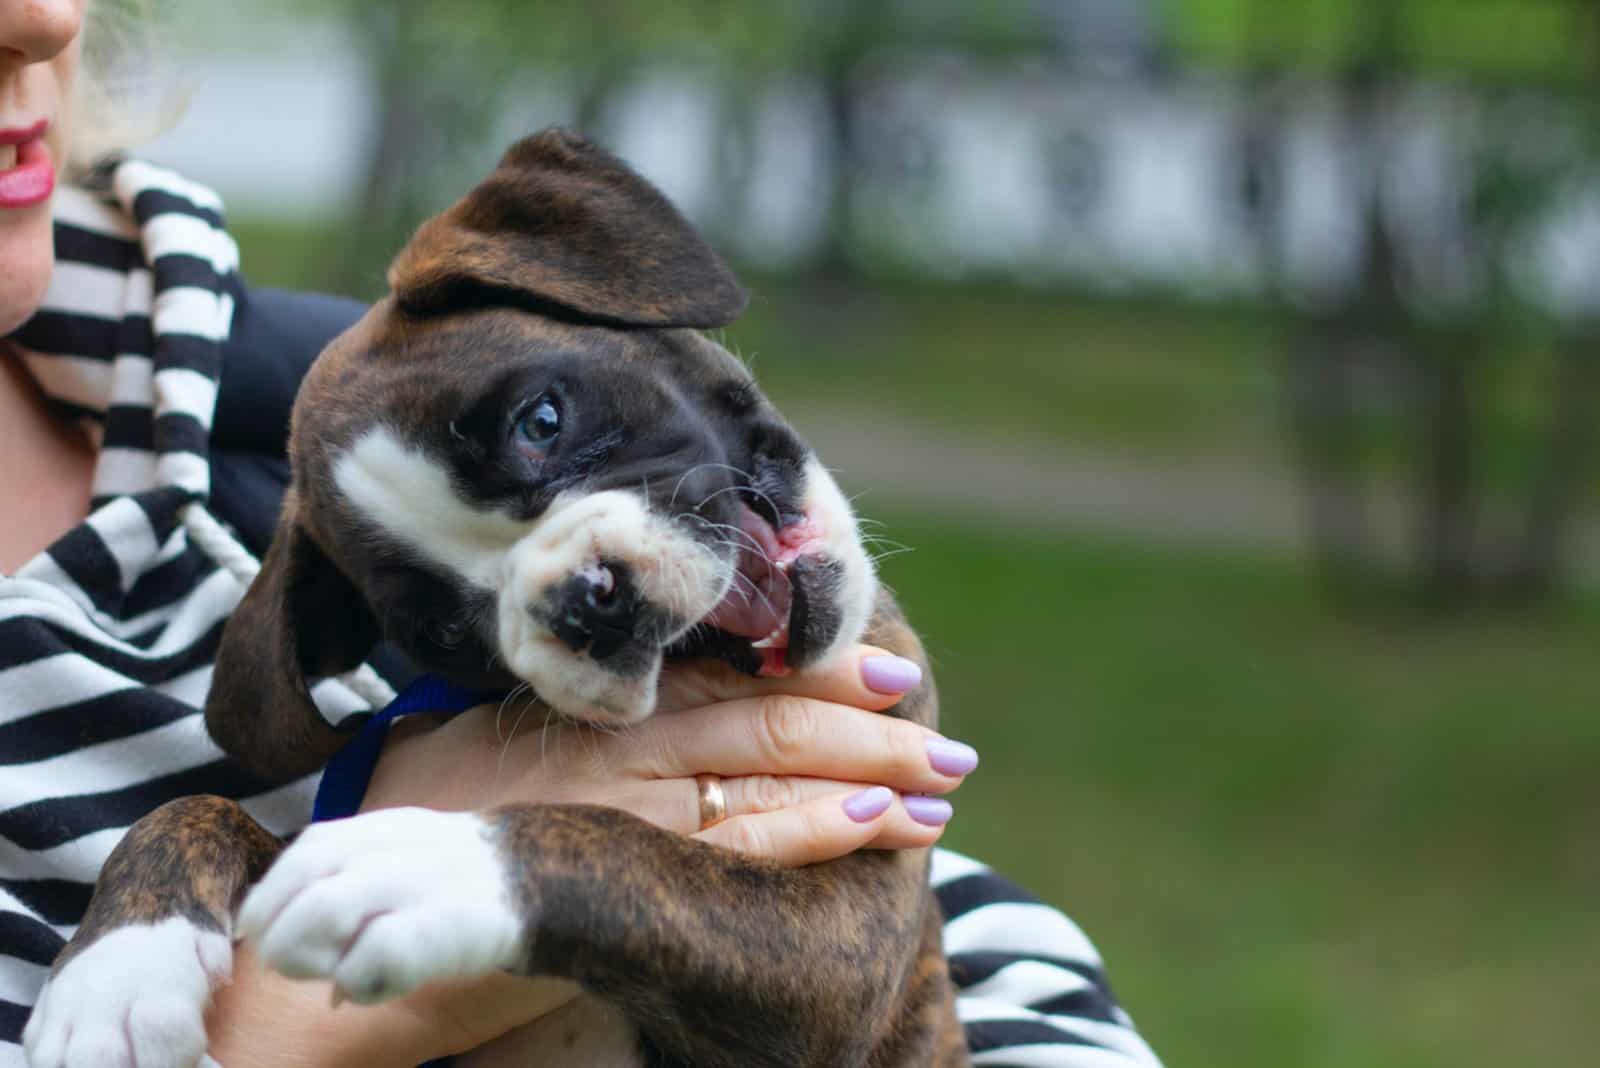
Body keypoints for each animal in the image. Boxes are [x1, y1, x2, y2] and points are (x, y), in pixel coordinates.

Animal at [18, 131, 960, 1068]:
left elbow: (624, 850)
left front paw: (420, 864)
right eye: (444, 630)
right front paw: (118, 969)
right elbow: (192, 808)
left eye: (540, 422)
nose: (586, 601)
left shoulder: (840, 942)